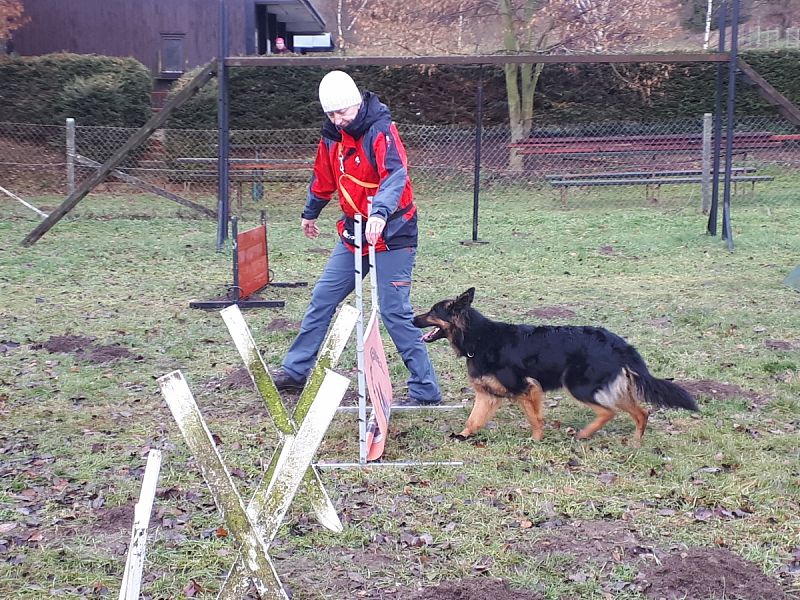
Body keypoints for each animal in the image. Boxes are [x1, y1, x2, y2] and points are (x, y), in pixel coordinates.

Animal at [416, 288, 696, 442]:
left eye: (432, 311)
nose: (411, 318)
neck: (477, 338)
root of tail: (618, 343)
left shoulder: (527, 388)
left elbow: (534, 418)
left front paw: (535, 440)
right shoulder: (487, 394)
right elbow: (473, 420)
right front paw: (462, 436)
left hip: (578, 385)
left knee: (609, 412)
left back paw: (584, 434)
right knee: (641, 412)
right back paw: (635, 443)